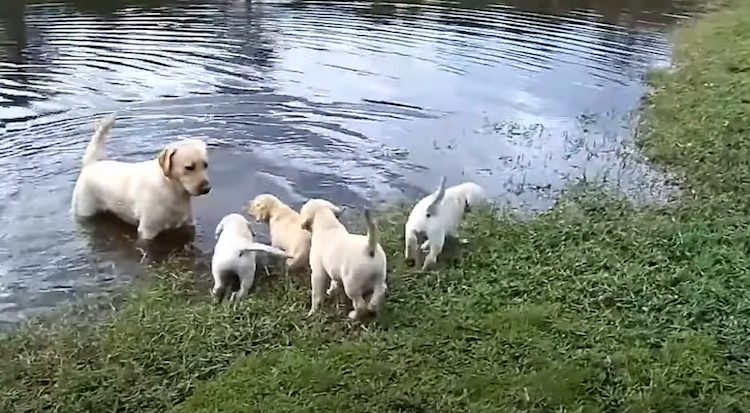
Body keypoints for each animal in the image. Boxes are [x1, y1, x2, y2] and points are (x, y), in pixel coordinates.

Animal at [71, 114, 212, 240]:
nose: (207, 188)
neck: (171, 189)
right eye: (189, 167)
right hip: (85, 208)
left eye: (205, 165)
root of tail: (91, 163)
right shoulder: (148, 230)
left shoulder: (188, 223)